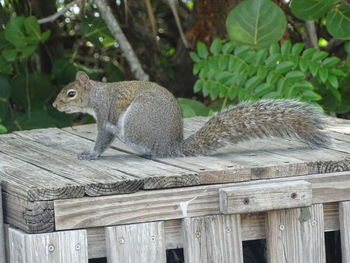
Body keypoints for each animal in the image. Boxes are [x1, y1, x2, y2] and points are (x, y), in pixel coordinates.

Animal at [52, 71, 330, 160]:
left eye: (71, 94)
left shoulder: (105, 110)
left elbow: (101, 139)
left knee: (130, 137)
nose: (55, 105)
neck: (97, 95)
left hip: (135, 118)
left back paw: (118, 132)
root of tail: (169, 146)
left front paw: (91, 154)